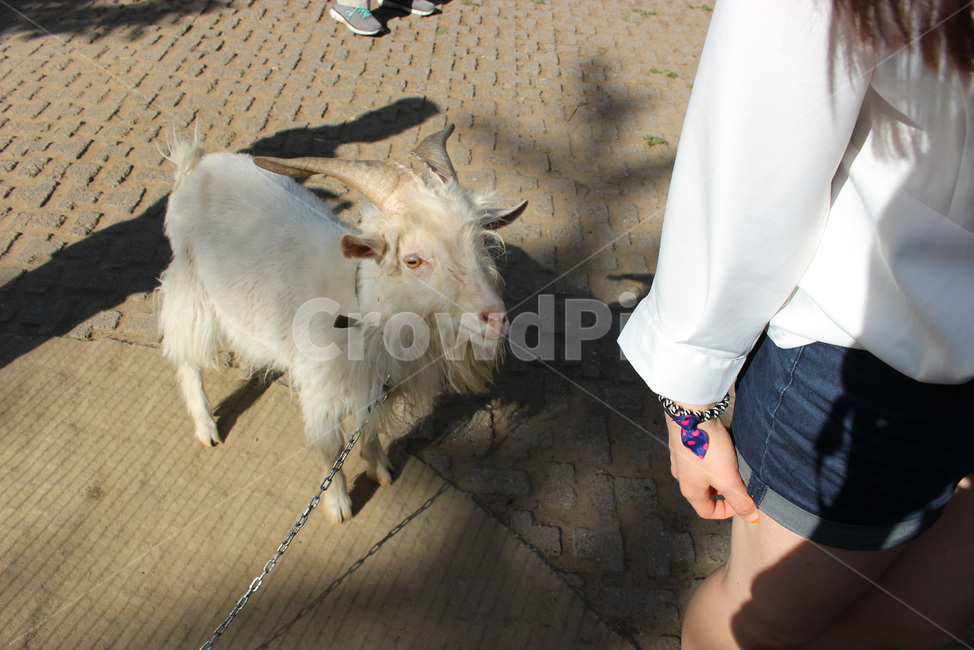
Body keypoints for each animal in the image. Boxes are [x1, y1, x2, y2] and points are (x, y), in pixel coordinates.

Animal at [158, 125, 526, 523]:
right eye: (413, 260)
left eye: (481, 243)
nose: (495, 318)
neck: (359, 312)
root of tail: (198, 164)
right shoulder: (321, 391)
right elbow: (331, 449)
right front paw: (338, 505)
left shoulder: (375, 384)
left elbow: (368, 428)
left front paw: (379, 467)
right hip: (189, 283)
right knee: (186, 355)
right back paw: (206, 426)